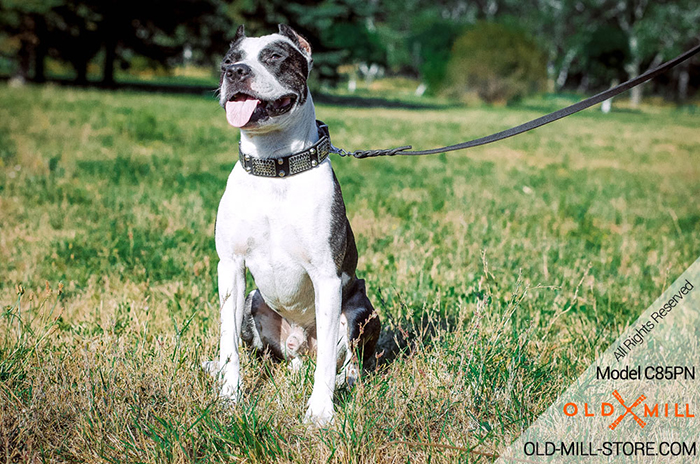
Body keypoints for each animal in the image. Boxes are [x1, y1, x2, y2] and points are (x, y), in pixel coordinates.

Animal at [211, 24, 380, 424]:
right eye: (228, 59)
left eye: (275, 56)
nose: (235, 71)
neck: (274, 166)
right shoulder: (231, 268)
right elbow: (228, 345)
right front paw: (229, 397)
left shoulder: (327, 277)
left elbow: (328, 364)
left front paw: (320, 412)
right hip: (254, 303)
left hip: (360, 309)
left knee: (348, 359)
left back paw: (346, 380)